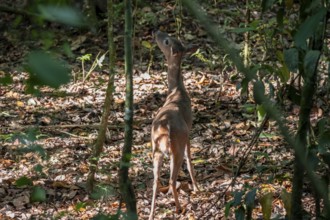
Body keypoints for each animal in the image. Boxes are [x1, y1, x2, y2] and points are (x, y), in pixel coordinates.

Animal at [150, 30, 199, 219]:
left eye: (167, 40)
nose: (156, 31)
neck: (176, 91)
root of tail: (166, 130)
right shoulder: (189, 131)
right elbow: (190, 160)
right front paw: (197, 188)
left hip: (156, 149)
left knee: (156, 180)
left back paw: (152, 213)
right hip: (175, 148)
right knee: (172, 179)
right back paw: (179, 208)